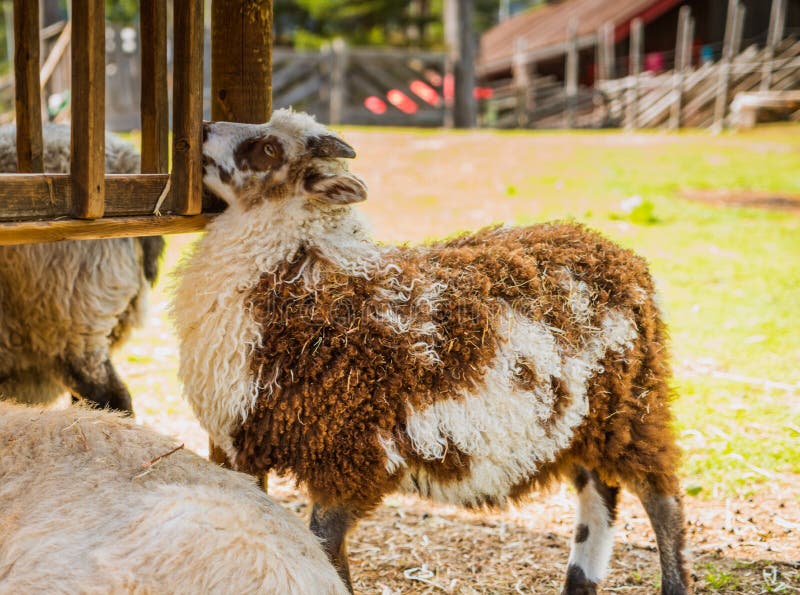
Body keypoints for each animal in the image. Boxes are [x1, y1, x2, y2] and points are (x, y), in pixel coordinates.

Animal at [173, 109, 690, 595]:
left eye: (268, 149)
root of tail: (618, 254)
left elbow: (325, 545)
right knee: (601, 496)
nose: (202, 128)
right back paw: (580, 582)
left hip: (633, 408)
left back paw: (672, 582)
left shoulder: (350, 457)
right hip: (579, 423)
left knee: (661, 498)